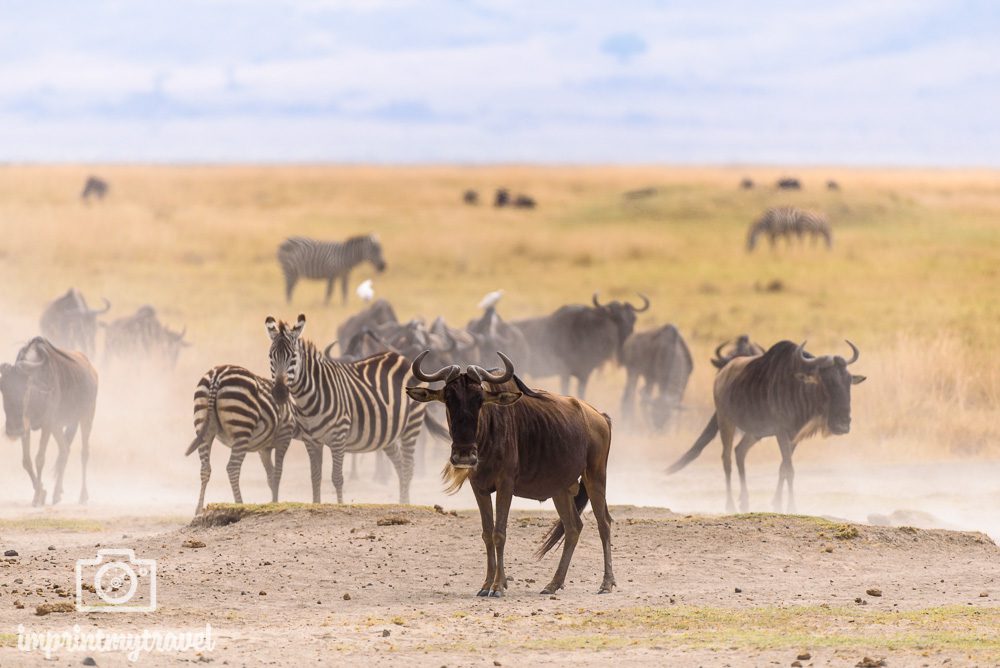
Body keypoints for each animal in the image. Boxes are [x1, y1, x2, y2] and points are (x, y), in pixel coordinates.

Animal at [186, 362, 306, 516]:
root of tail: (217, 375)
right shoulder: (284, 437)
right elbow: (277, 473)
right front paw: (275, 504)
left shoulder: (264, 449)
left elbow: (270, 476)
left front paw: (273, 502)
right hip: (241, 427)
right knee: (232, 468)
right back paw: (239, 504)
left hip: (203, 426)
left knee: (205, 468)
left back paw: (199, 510)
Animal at [264, 316, 424, 504]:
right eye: (271, 357)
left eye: (293, 357)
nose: (280, 393)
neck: (308, 399)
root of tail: (400, 357)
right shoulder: (311, 441)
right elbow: (315, 477)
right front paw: (316, 504)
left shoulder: (338, 437)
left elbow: (337, 478)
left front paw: (340, 505)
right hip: (388, 433)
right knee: (399, 464)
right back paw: (402, 503)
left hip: (411, 425)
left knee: (408, 467)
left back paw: (406, 503)